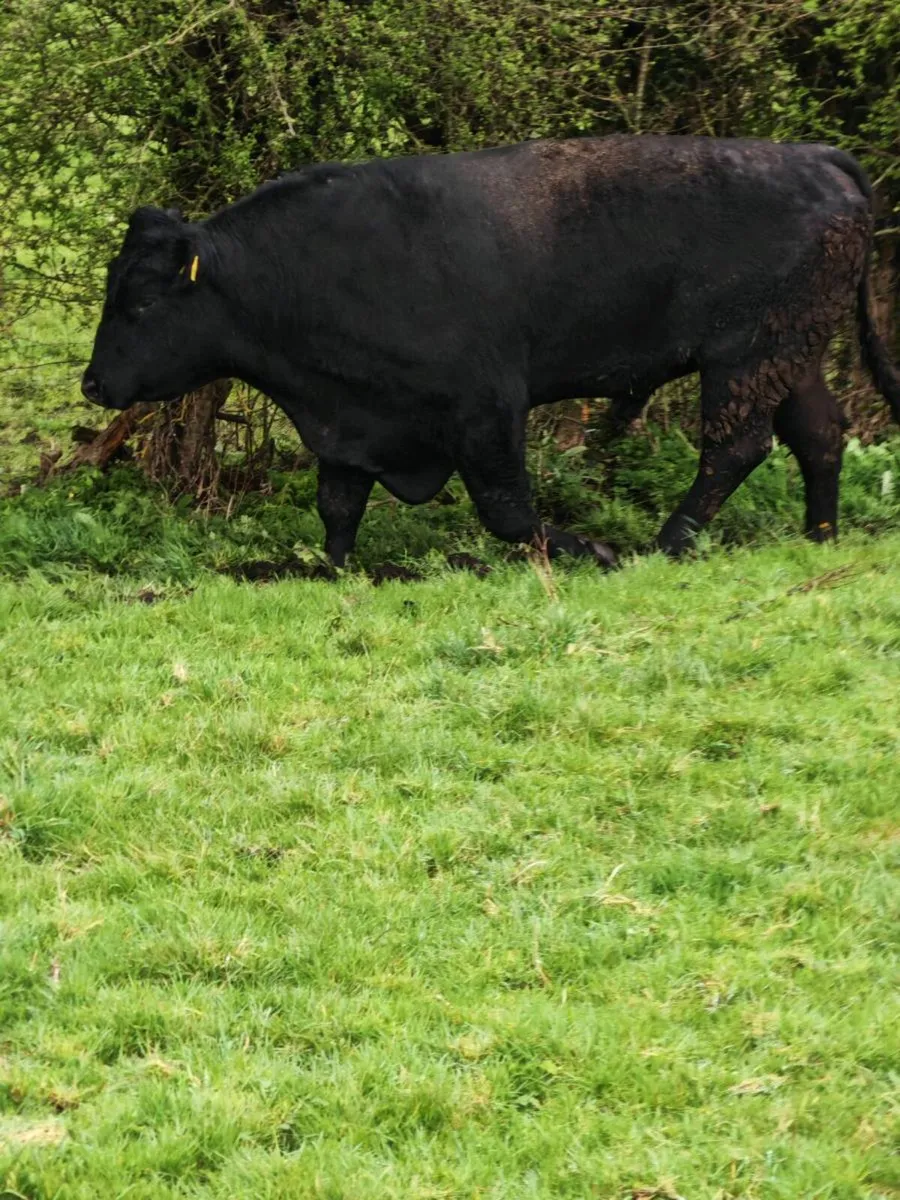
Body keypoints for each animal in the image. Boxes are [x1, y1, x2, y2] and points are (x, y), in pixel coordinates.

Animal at [81, 136, 900, 567]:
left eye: (142, 302)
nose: (92, 384)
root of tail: (815, 157)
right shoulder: (349, 424)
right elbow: (337, 509)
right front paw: (329, 569)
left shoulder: (485, 409)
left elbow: (508, 509)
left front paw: (590, 550)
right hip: (790, 355)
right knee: (818, 434)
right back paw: (819, 536)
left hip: (745, 359)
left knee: (735, 448)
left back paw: (666, 543)